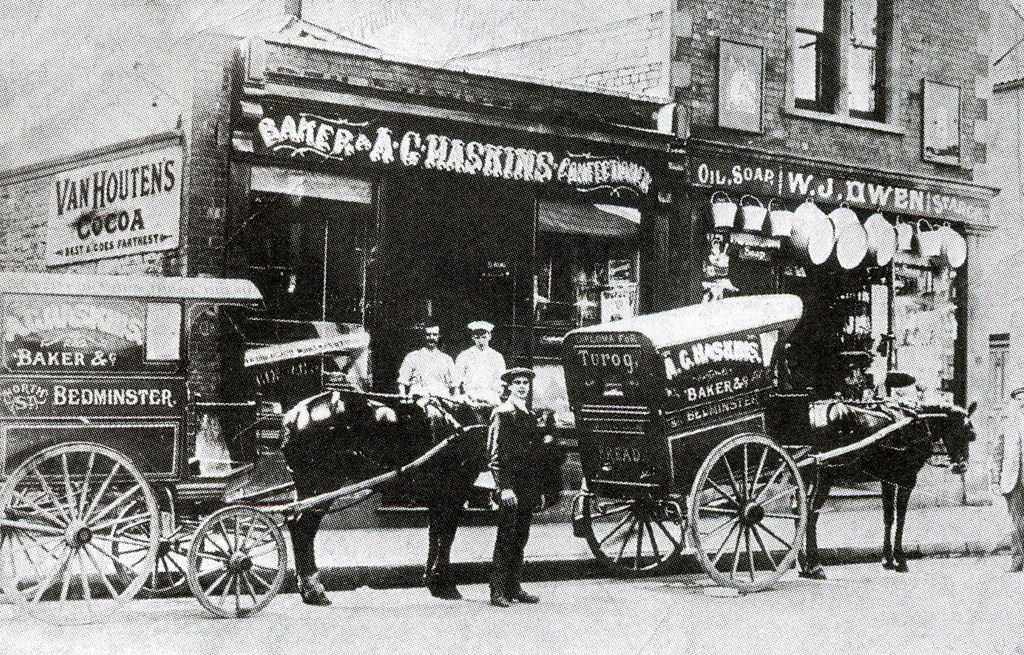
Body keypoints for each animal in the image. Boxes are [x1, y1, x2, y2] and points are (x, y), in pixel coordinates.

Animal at [278, 388, 569, 605]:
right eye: (553, 450)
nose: (553, 498)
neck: (466, 423)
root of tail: (293, 415)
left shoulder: (439, 495)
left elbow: (435, 534)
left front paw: (433, 582)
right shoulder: (452, 492)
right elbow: (447, 534)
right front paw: (444, 584)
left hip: (307, 487)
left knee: (294, 524)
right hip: (321, 485)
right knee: (303, 529)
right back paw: (314, 590)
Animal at [794, 399, 978, 577]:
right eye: (967, 433)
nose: (961, 466)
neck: (918, 422)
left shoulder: (887, 480)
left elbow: (888, 517)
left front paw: (887, 559)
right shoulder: (907, 480)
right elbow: (901, 518)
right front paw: (900, 560)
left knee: (798, 513)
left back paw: (803, 565)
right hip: (824, 477)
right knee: (810, 515)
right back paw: (815, 566)